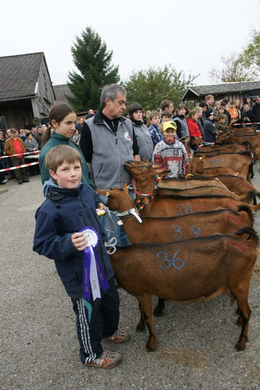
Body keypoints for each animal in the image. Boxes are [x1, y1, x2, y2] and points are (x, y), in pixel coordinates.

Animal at [110, 229, 258, 354]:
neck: (120, 259)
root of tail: (249, 244)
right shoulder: (141, 293)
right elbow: (140, 309)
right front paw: (140, 326)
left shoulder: (143, 293)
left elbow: (148, 317)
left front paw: (150, 344)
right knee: (245, 309)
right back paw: (240, 322)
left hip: (239, 284)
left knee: (247, 312)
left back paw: (241, 343)